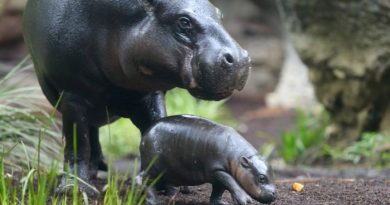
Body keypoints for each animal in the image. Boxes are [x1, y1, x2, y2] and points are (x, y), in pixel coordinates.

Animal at [23, 0, 250, 194]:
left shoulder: (150, 94)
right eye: (184, 22)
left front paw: (169, 186)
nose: (240, 59)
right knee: (87, 134)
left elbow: (157, 129)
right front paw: (74, 189)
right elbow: (77, 145)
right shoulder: (72, 94)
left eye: (220, 14)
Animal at [140, 114, 278, 204]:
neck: (238, 157)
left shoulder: (217, 177)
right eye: (261, 178)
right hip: (152, 167)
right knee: (145, 181)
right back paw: (154, 201)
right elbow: (232, 182)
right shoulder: (218, 170)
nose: (275, 194)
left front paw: (222, 203)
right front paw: (246, 201)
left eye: (273, 173)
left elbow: (218, 191)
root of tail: (145, 134)